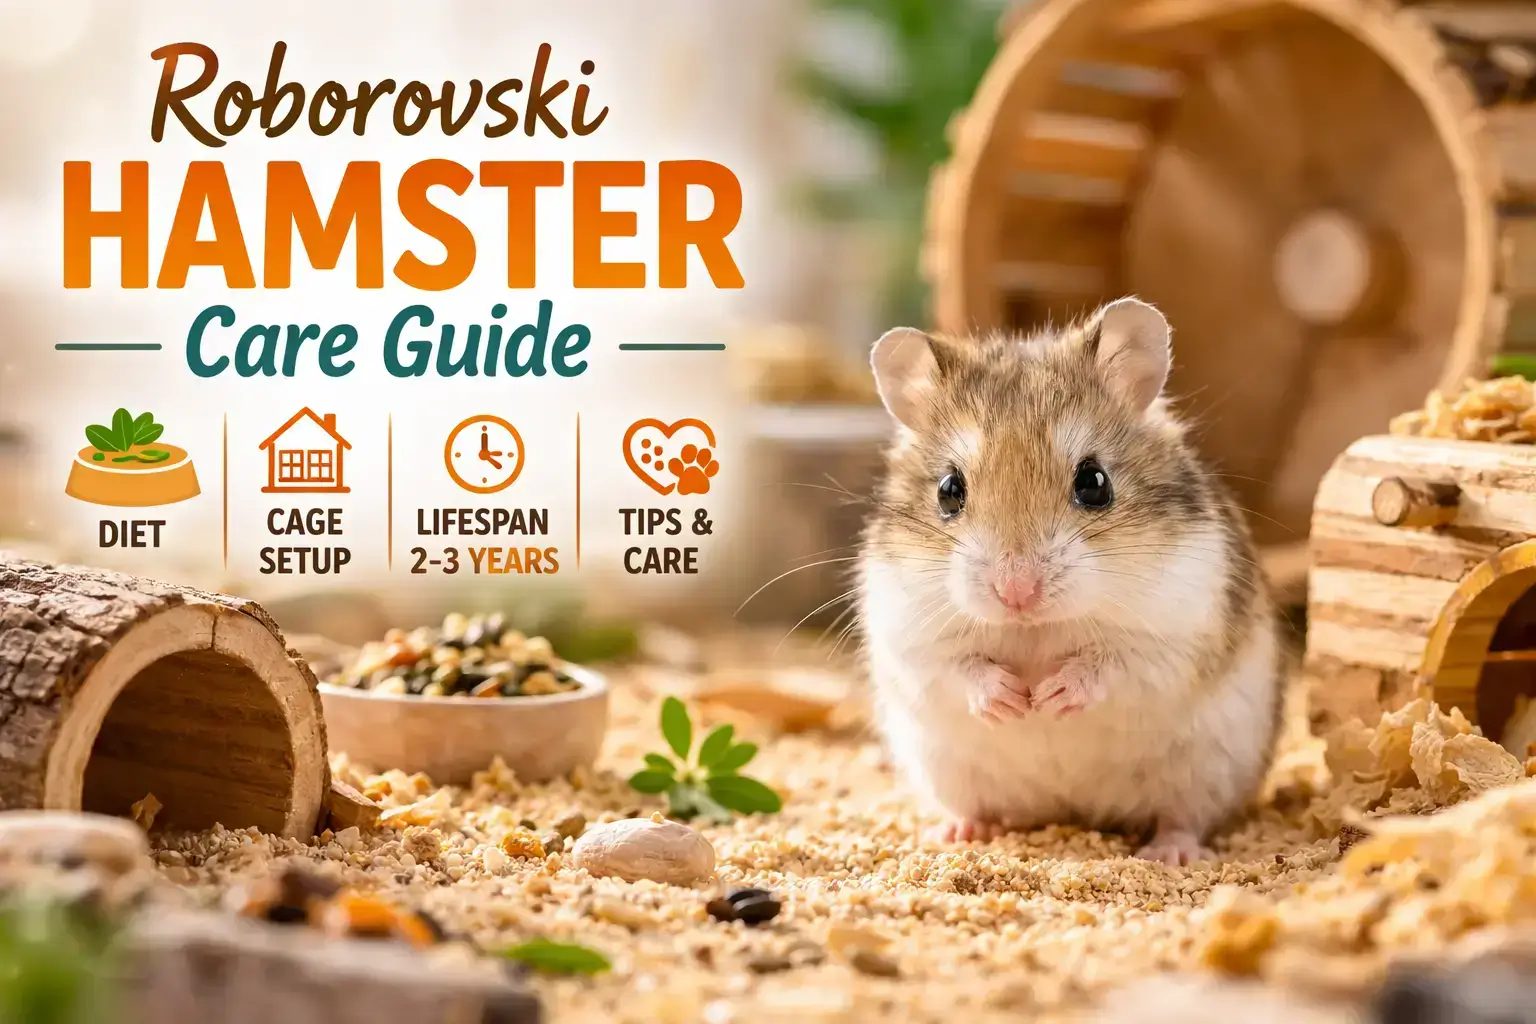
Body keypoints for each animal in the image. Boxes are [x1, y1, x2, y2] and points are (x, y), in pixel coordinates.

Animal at [856, 297, 1283, 865]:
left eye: (1095, 483)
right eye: (949, 490)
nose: (1016, 593)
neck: (1035, 630)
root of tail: (1071, 809)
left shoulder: (1174, 640)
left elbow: (1113, 665)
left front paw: (1051, 697)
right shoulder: (911, 640)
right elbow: (958, 667)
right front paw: (1015, 701)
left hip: (1209, 769)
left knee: (1182, 817)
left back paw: (1170, 853)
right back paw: (956, 833)